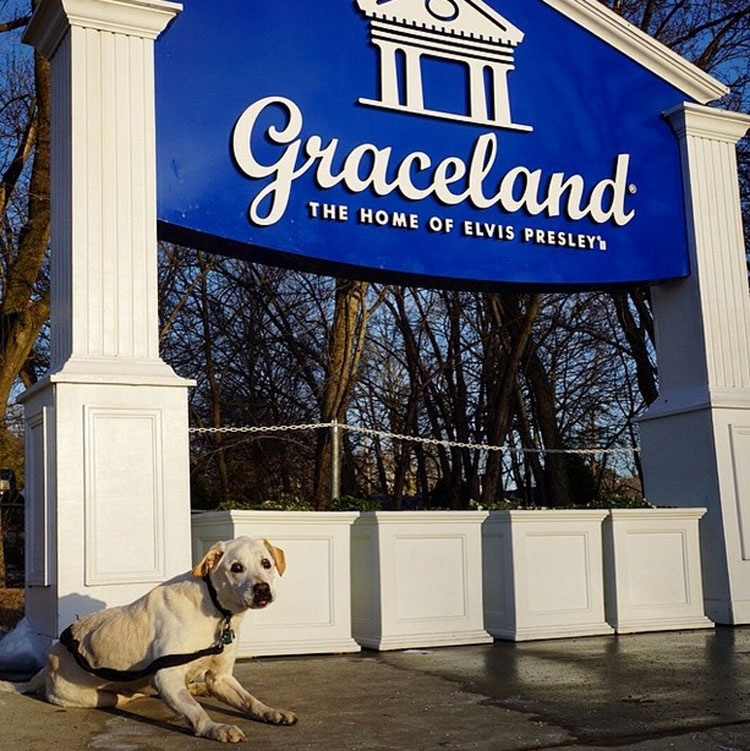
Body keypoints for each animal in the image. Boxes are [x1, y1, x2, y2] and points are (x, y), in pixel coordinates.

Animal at [0, 536, 300, 744]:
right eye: (236, 567)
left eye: (266, 564)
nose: (262, 589)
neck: (215, 607)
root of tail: (46, 667)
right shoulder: (166, 675)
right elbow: (195, 711)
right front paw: (215, 728)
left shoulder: (220, 678)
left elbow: (249, 700)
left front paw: (271, 712)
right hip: (99, 696)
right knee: (128, 696)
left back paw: (194, 688)